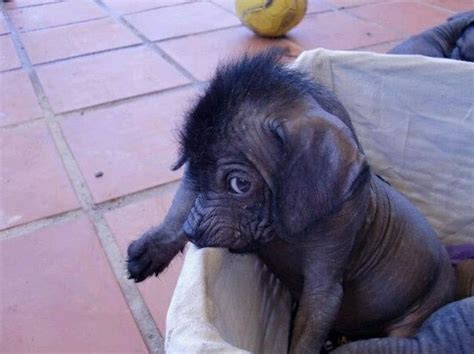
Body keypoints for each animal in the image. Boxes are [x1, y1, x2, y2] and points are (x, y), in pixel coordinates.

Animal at [127, 50, 456, 354]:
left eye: (240, 184)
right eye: (191, 169)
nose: (193, 232)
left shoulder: (323, 287)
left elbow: (306, 336)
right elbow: (181, 205)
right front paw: (153, 247)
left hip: (415, 317)